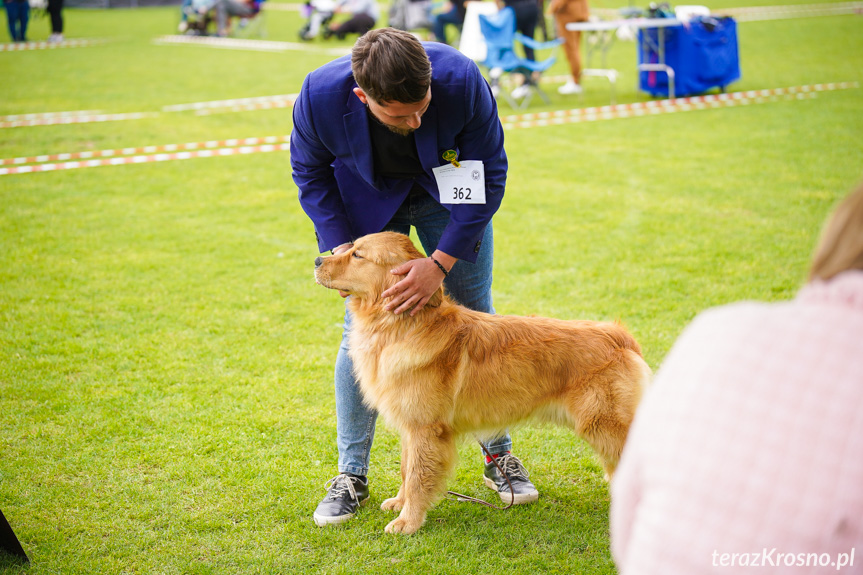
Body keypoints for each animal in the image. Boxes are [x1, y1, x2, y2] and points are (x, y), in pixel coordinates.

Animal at [314, 231, 652, 536]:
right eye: (350, 247)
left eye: (358, 255)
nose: (317, 260)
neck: (401, 325)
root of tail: (618, 336)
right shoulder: (411, 426)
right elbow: (406, 469)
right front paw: (400, 503)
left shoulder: (426, 429)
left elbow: (418, 477)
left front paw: (408, 522)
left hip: (607, 426)